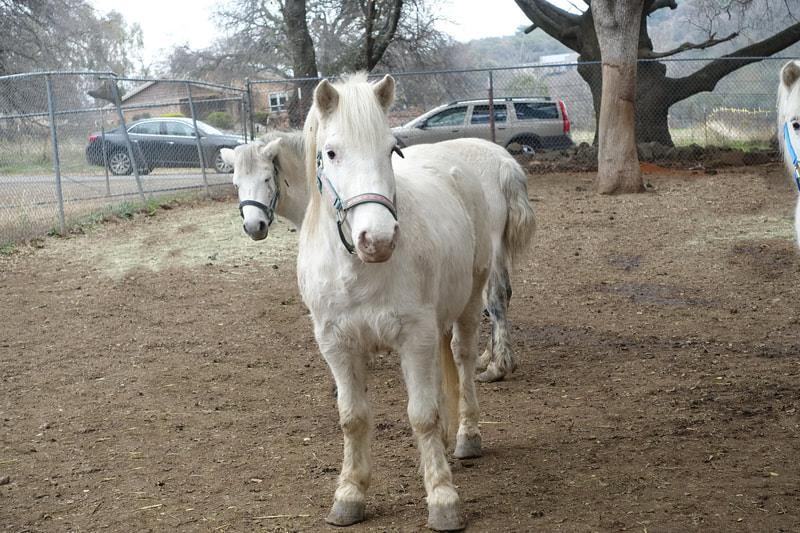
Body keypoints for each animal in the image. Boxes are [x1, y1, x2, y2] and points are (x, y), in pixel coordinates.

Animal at [221, 134, 535, 383]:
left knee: (494, 297)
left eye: (266, 178)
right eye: (236, 183)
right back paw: (488, 356)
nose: (254, 226)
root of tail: (503, 162)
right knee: (500, 296)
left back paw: (497, 366)